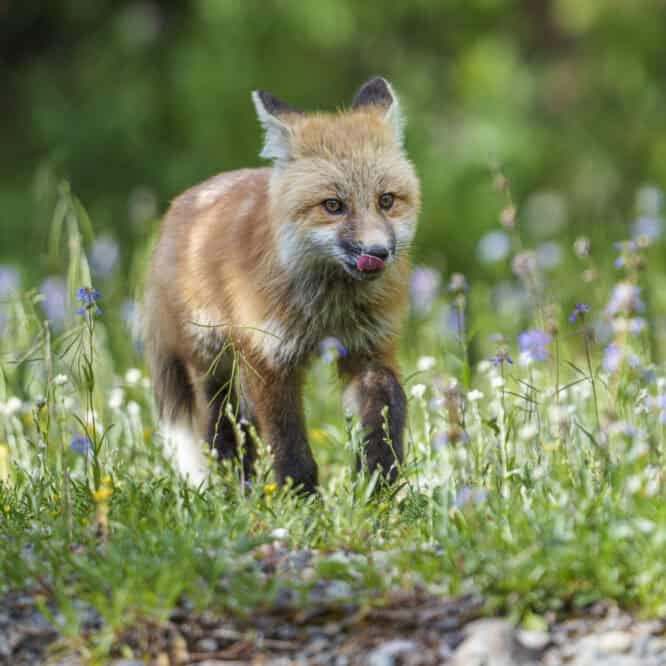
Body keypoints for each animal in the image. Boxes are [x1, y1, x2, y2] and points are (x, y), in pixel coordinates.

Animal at [144, 77, 421, 492]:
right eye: (333, 206)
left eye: (386, 200)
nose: (378, 252)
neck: (328, 309)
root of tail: (175, 209)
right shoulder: (270, 359)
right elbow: (290, 446)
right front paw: (301, 498)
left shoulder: (370, 348)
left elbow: (385, 416)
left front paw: (378, 487)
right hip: (213, 367)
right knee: (221, 433)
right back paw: (236, 491)